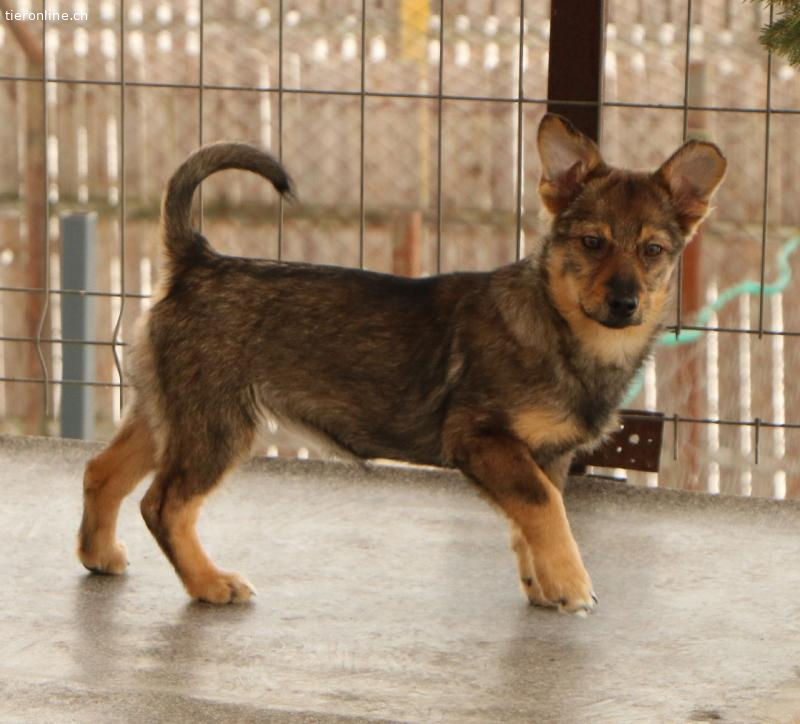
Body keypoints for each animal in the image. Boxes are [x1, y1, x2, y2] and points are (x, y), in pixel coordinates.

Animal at [77, 114, 726, 612]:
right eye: (592, 243)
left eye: (653, 251)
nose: (625, 303)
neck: (562, 328)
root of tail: (197, 259)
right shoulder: (480, 438)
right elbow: (545, 508)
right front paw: (570, 584)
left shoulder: (545, 455)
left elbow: (535, 514)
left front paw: (541, 583)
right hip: (217, 425)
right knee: (164, 505)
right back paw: (210, 584)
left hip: (170, 412)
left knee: (102, 471)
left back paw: (99, 555)